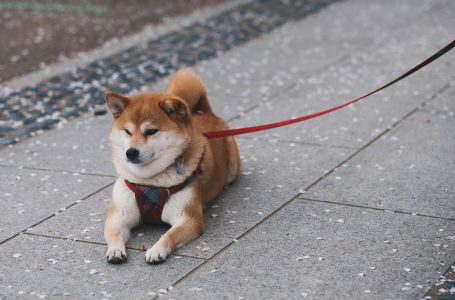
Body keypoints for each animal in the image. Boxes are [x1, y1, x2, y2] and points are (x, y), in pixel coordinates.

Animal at [102, 69, 239, 264]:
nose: (131, 152)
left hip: (233, 168)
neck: (149, 182)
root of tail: (204, 112)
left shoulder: (188, 218)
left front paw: (157, 249)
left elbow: (169, 235)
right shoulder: (119, 215)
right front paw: (115, 250)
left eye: (151, 131)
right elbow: (114, 233)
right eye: (127, 131)